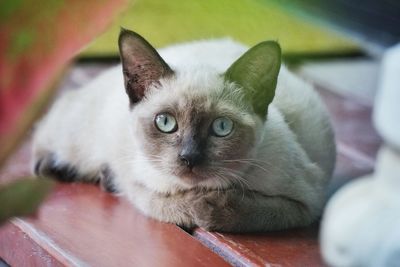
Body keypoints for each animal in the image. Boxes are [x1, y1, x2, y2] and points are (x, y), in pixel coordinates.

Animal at [32, 27, 336, 232]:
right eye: (165, 123)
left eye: (222, 127)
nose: (189, 158)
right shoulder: (137, 183)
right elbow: (167, 205)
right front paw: (198, 206)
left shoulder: (307, 203)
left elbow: (248, 211)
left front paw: (210, 207)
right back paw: (57, 166)